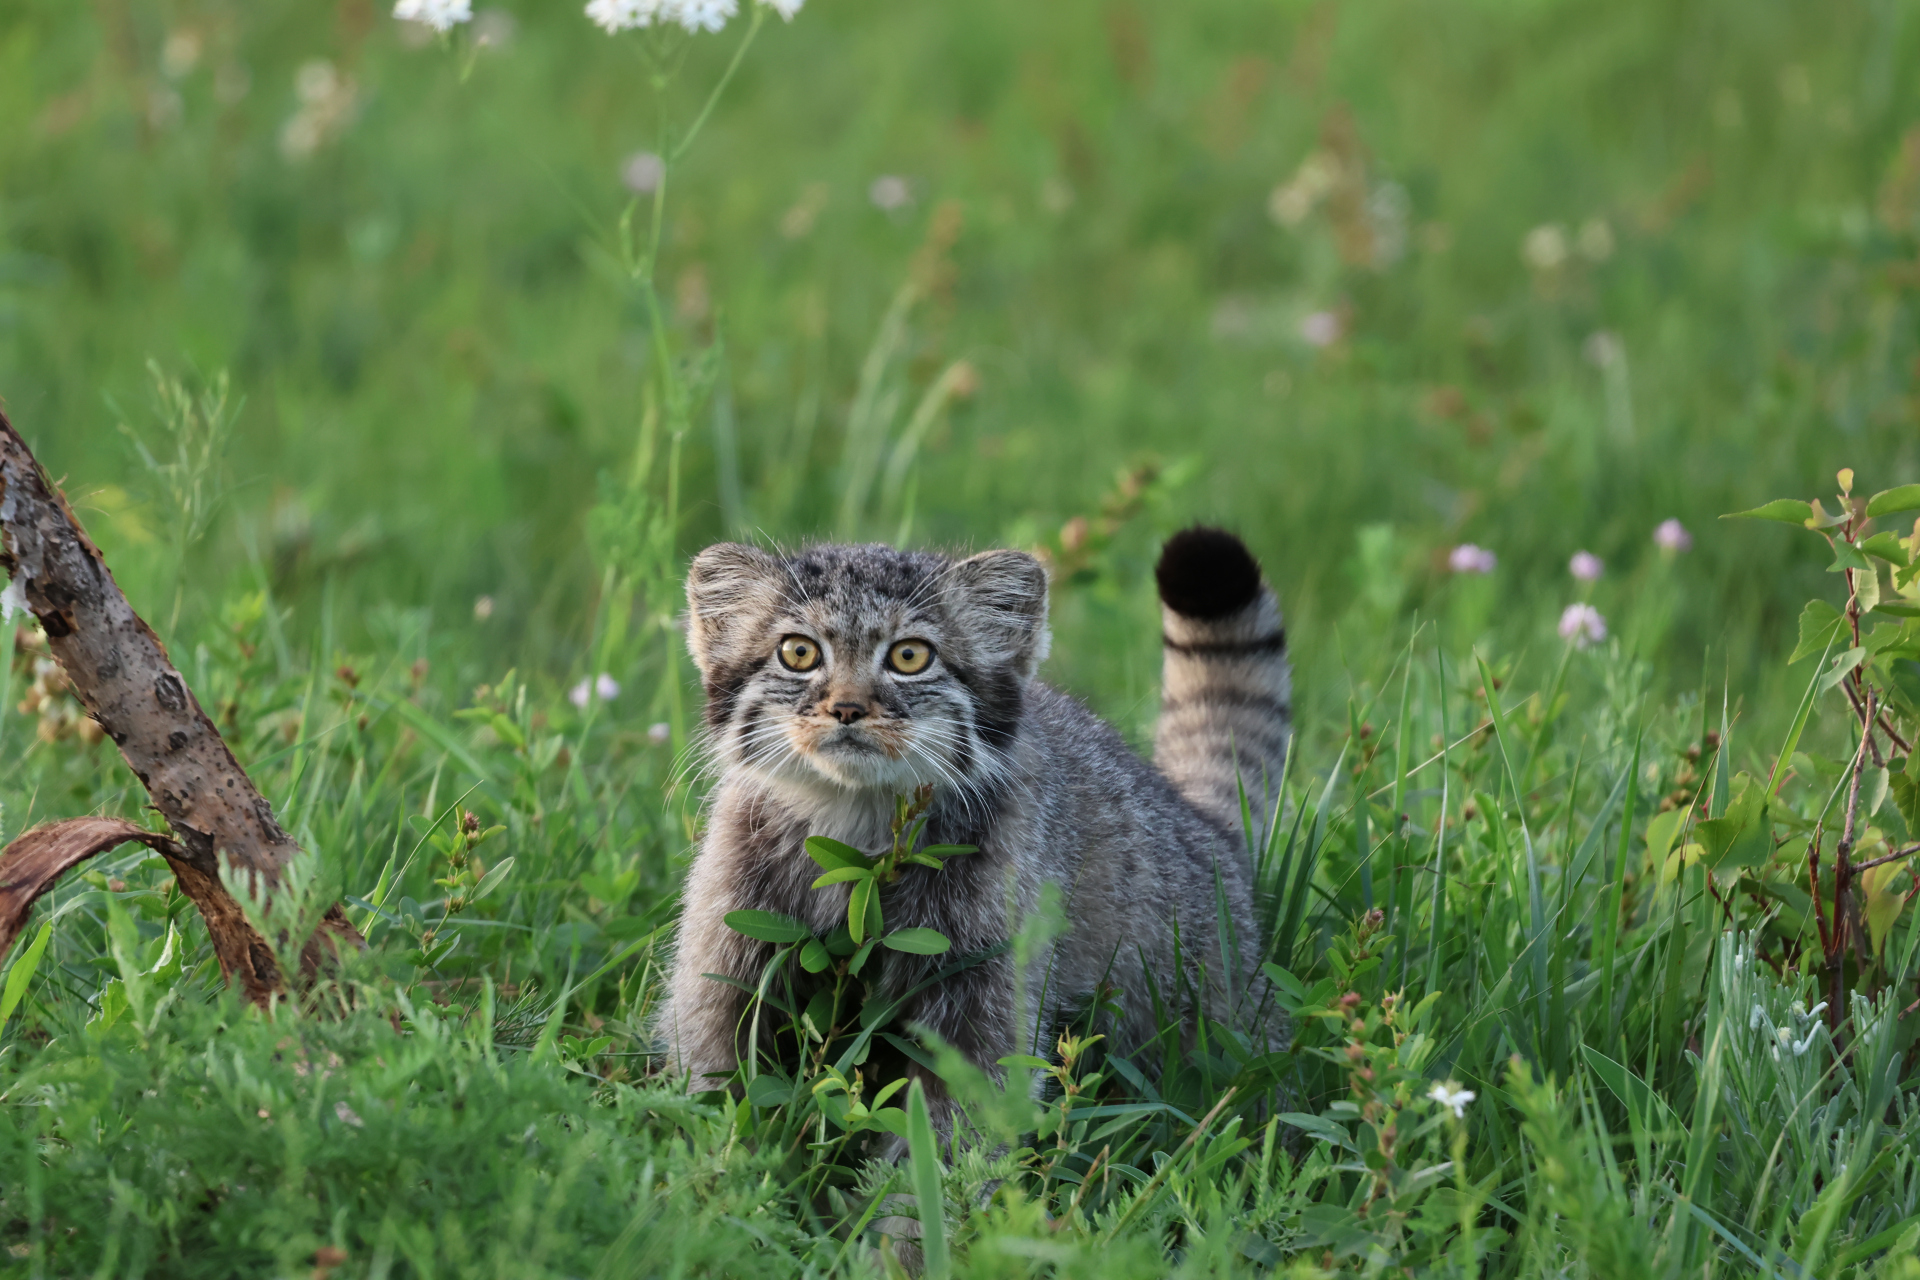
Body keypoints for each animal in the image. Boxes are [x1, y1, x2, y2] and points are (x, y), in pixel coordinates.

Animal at [656, 525, 1290, 1113]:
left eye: (910, 656)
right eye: (799, 652)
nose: (847, 708)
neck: (853, 823)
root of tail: (1204, 825)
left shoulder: (987, 985)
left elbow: (957, 1127)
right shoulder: (726, 951)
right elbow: (718, 1086)